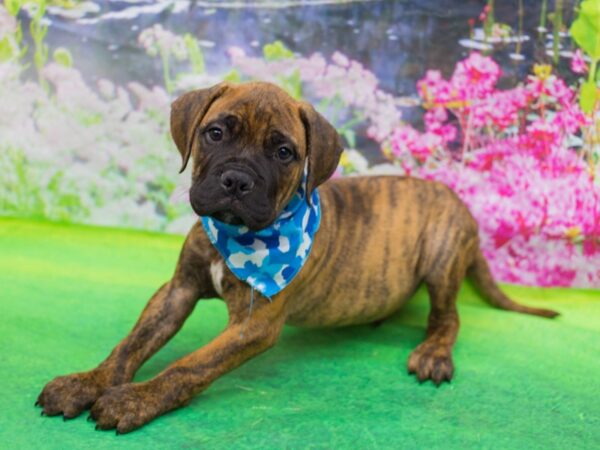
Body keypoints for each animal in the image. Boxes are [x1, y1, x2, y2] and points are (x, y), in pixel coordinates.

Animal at [37, 80, 556, 432]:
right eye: (215, 133)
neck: (238, 233)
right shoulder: (177, 290)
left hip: (441, 256)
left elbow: (189, 366)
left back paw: (432, 352)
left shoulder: (253, 323)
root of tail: (458, 203)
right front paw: (87, 383)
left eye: (284, 152)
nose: (236, 180)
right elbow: (131, 343)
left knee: (448, 317)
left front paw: (134, 400)